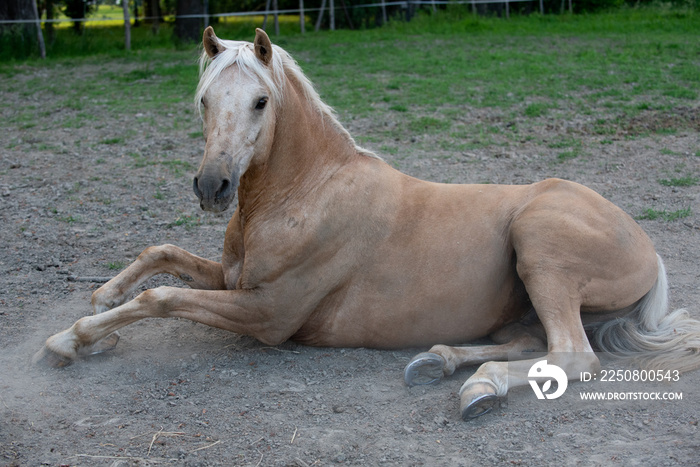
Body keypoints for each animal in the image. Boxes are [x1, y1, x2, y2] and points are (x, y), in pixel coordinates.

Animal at [34, 25, 700, 420]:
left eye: (261, 101)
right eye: (203, 100)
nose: (212, 187)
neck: (307, 192)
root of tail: (649, 251)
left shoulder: (268, 313)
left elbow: (163, 298)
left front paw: (69, 341)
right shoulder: (233, 281)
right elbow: (163, 254)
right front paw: (101, 301)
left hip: (539, 244)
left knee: (572, 355)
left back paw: (479, 388)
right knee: (531, 342)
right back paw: (439, 363)